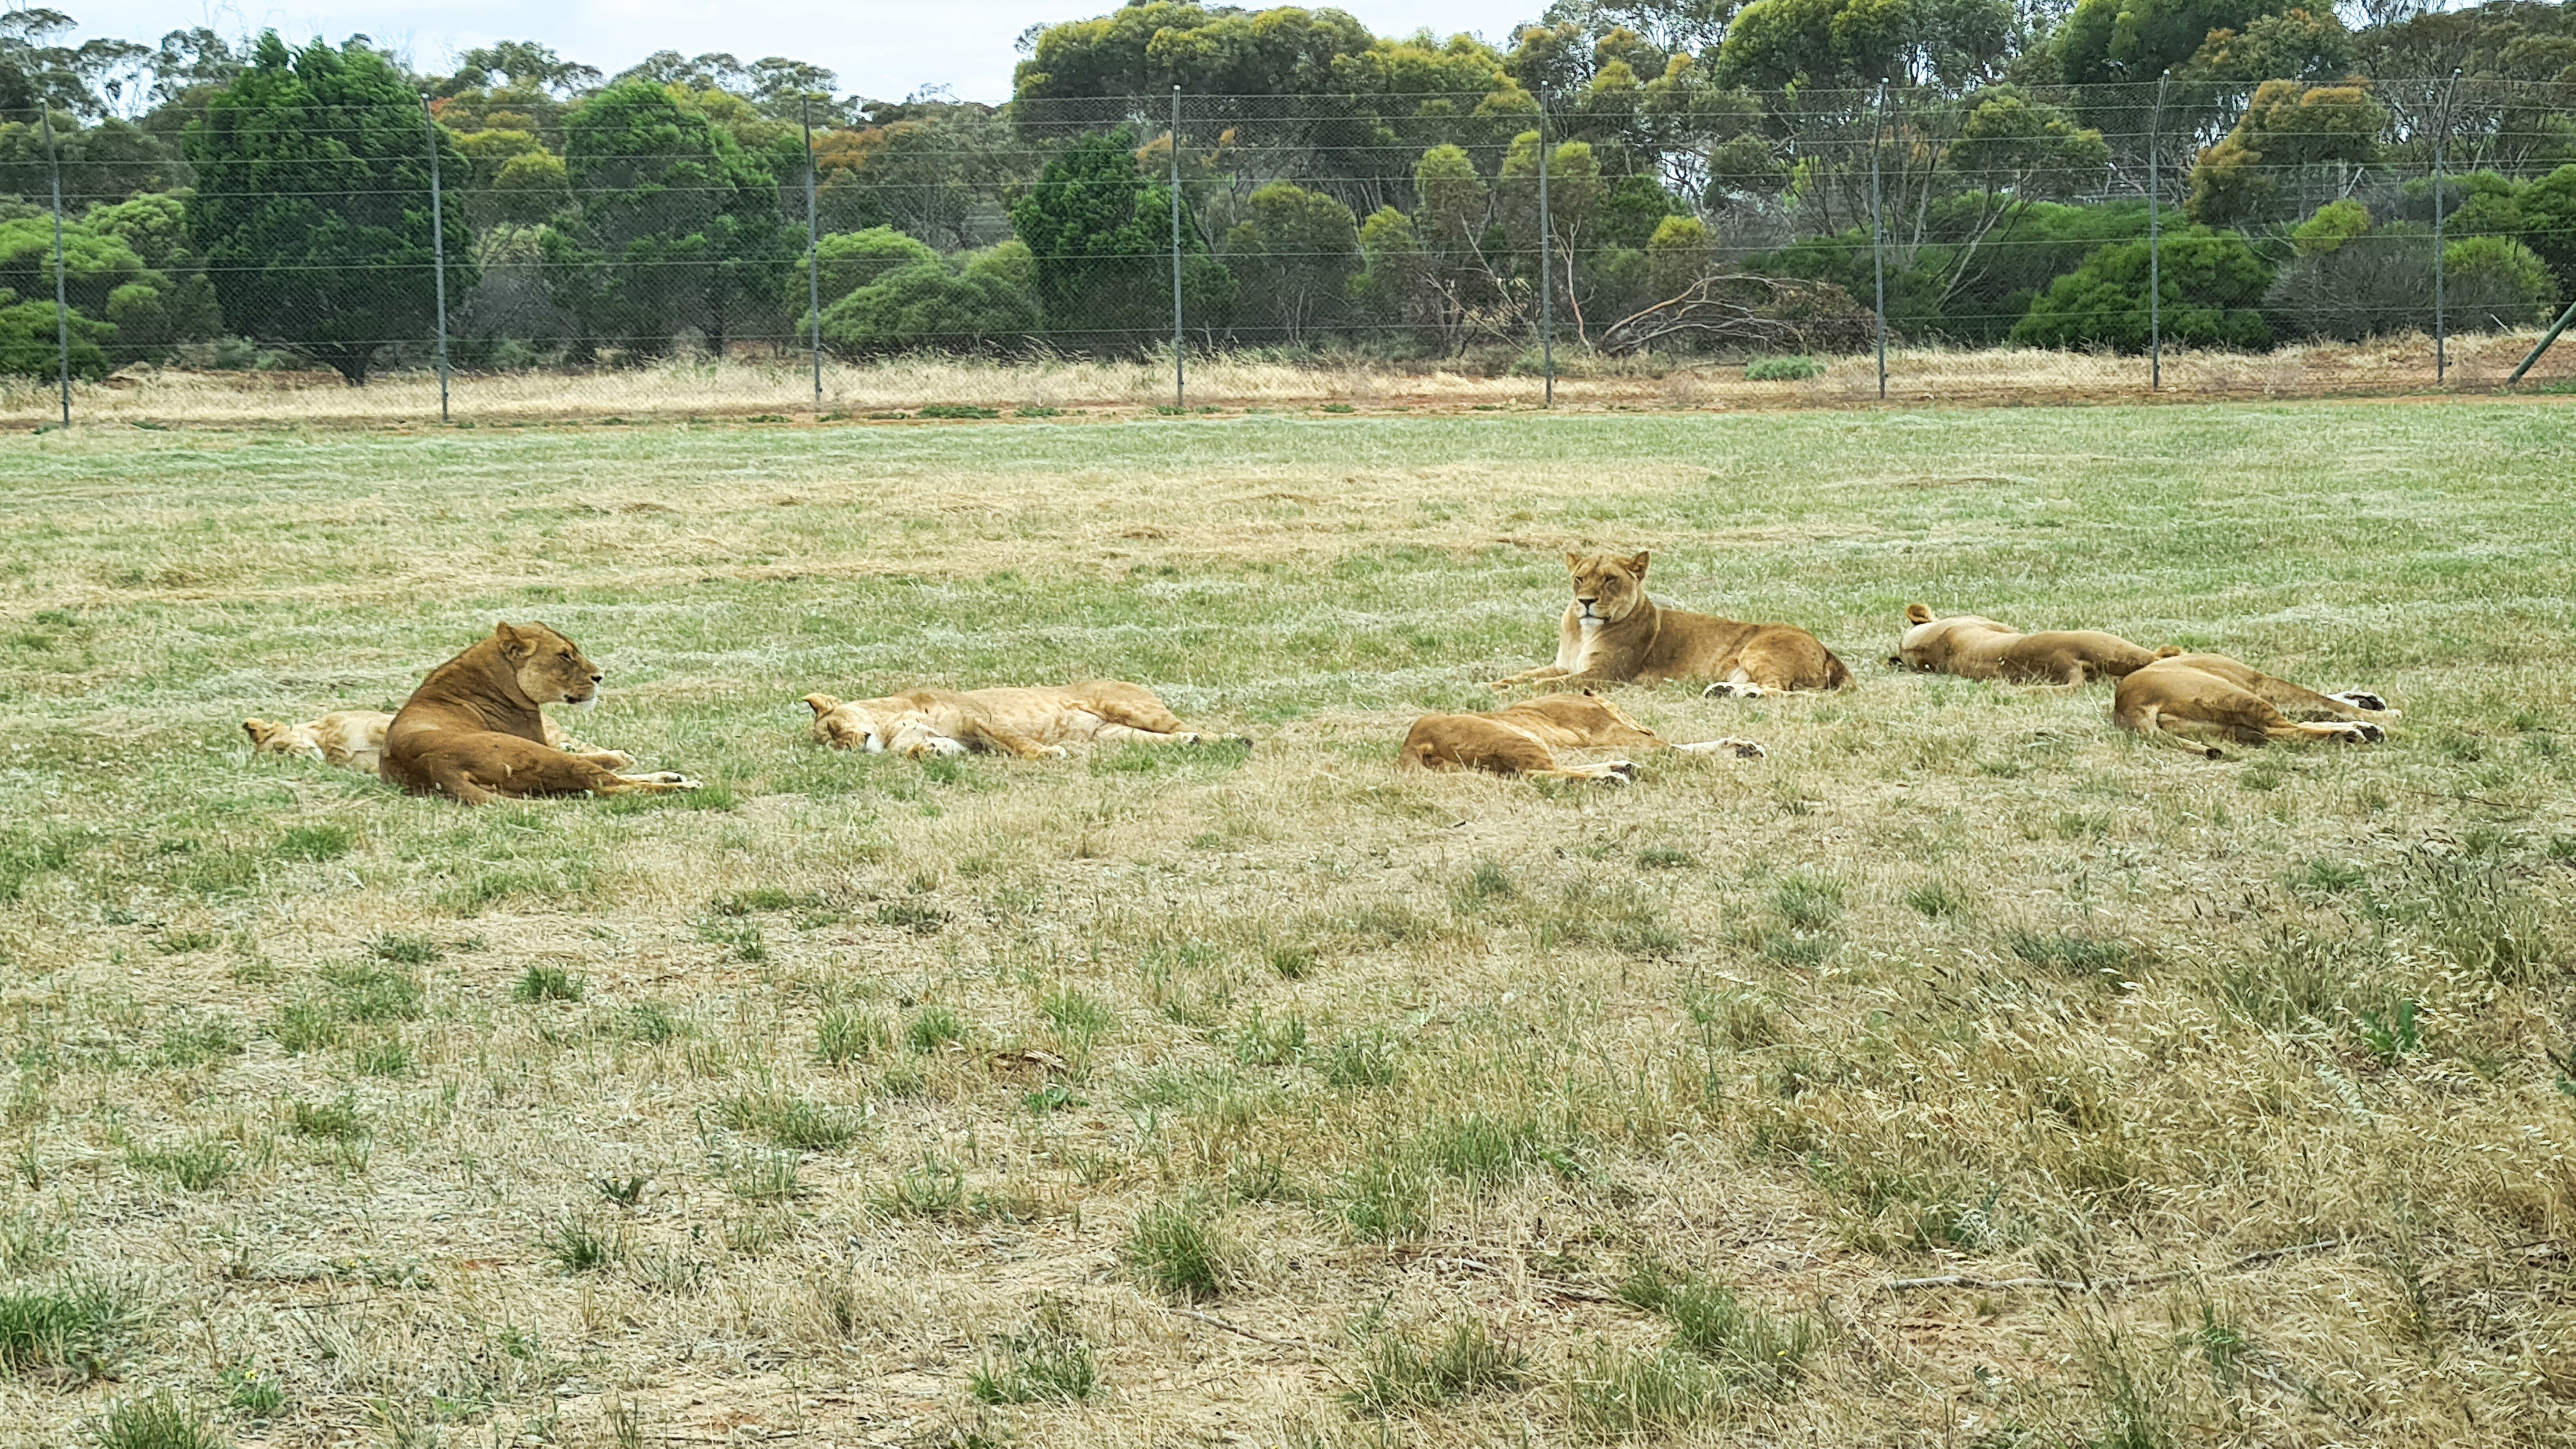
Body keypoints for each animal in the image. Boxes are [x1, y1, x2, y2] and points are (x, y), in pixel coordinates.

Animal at [380, 622, 699, 804]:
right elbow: (602, 761)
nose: (600, 676)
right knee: (606, 785)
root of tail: (435, 767)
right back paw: (684, 787)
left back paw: (672, 779)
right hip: (536, 753)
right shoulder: (539, 740)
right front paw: (621, 756)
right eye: (564, 655)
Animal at [1400, 691, 1765, 785]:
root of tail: (1413, 740)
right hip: (1517, 738)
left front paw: (1745, 747)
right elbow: (1677, 748)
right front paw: (1742, 748)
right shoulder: (1615, 732)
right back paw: (1610, 778)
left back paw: (1621, 769)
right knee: (1535, 774)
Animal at [1491, 551, 1850, 697]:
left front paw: (1514, 693)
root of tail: (1826, 649)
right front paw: (1492, 685)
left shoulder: (1604, 675)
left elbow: (1547, 685)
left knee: (1779, 690)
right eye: (1579, 578)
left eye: (1609, 579)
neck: (1583, 633)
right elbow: (1525, 675)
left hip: (1756, 650)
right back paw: (1723, 691)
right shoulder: (1564, 665)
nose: (1586, 601)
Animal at [2113, 652, 2393, 757]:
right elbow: (2318, 698)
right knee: (2284, 729)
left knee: (2282, 731)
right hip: (2239, 696)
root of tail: (2125, 706)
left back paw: (2358, 731)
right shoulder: (2264, 683)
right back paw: (2352, 733)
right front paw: (2386, 715)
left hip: (2229, 725)